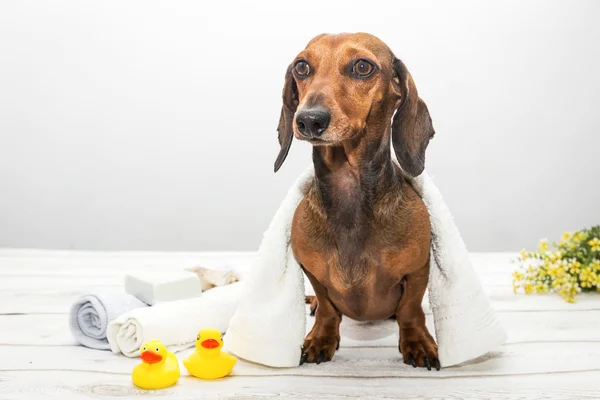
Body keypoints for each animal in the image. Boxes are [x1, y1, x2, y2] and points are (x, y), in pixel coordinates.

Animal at [274, 32, 438, 370]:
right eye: (301, 67)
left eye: (362, 66)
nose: (309, 120)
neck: (348, 189)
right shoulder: (311, 270)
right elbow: (327, 307)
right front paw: (321, 337)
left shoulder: (418, 268)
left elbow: (410, 309)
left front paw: (417, 341)